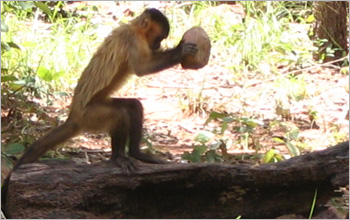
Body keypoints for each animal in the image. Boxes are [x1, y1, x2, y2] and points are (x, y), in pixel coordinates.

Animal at [2, 7, 198, 212]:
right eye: (158, 38)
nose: (158, 45)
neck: (134, 28)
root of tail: (73, 116)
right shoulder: (131, 39)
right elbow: (142, 69)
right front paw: (180, 50)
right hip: (90, 116)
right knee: (118, 115)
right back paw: (119, 158)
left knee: (132, 106)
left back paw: (136, 153)